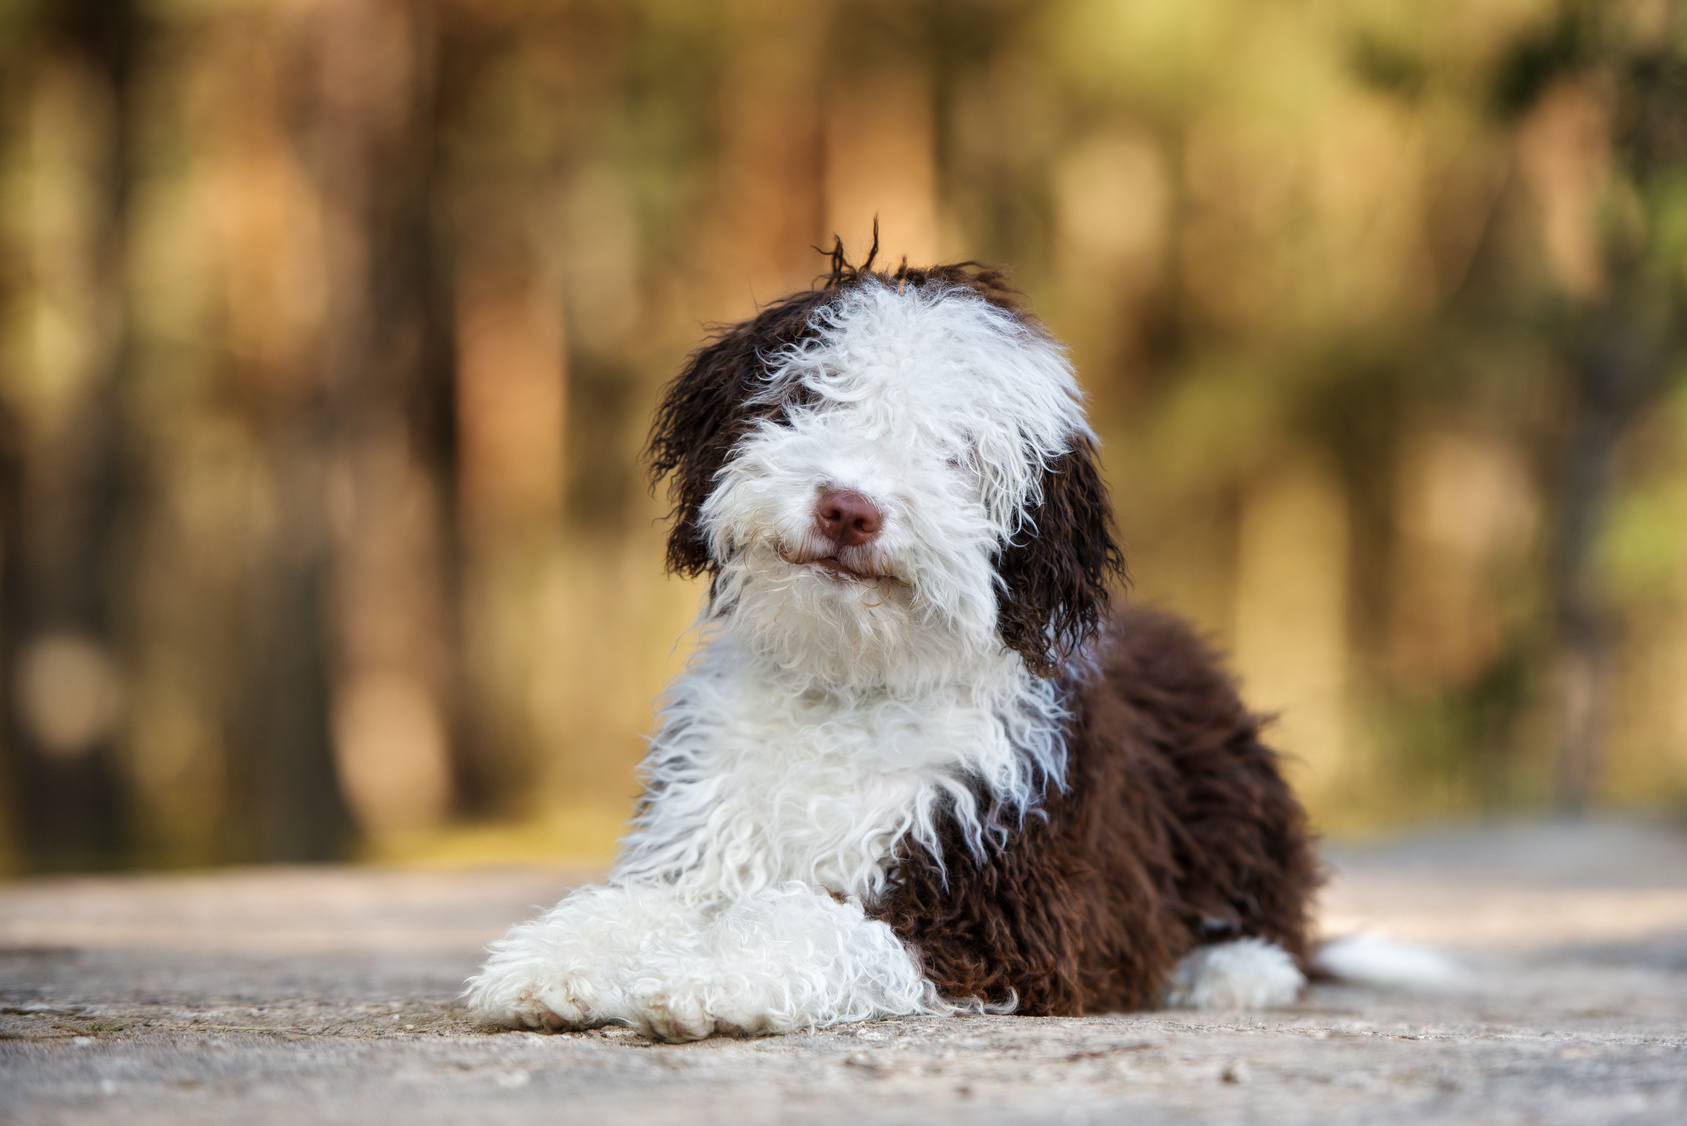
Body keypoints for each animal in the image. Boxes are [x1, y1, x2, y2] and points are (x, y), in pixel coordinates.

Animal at [468, 251, 1322, 1046]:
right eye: (812, 396)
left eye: (957, 454)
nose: (848, 509)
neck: (850, 684)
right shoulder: (702, 836)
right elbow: (636, 903)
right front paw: (552, 961)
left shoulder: (1007, 917)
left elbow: (818, 923)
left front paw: (712, 976)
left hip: (1229, 795)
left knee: (1277, 927)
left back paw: (1231, 971)